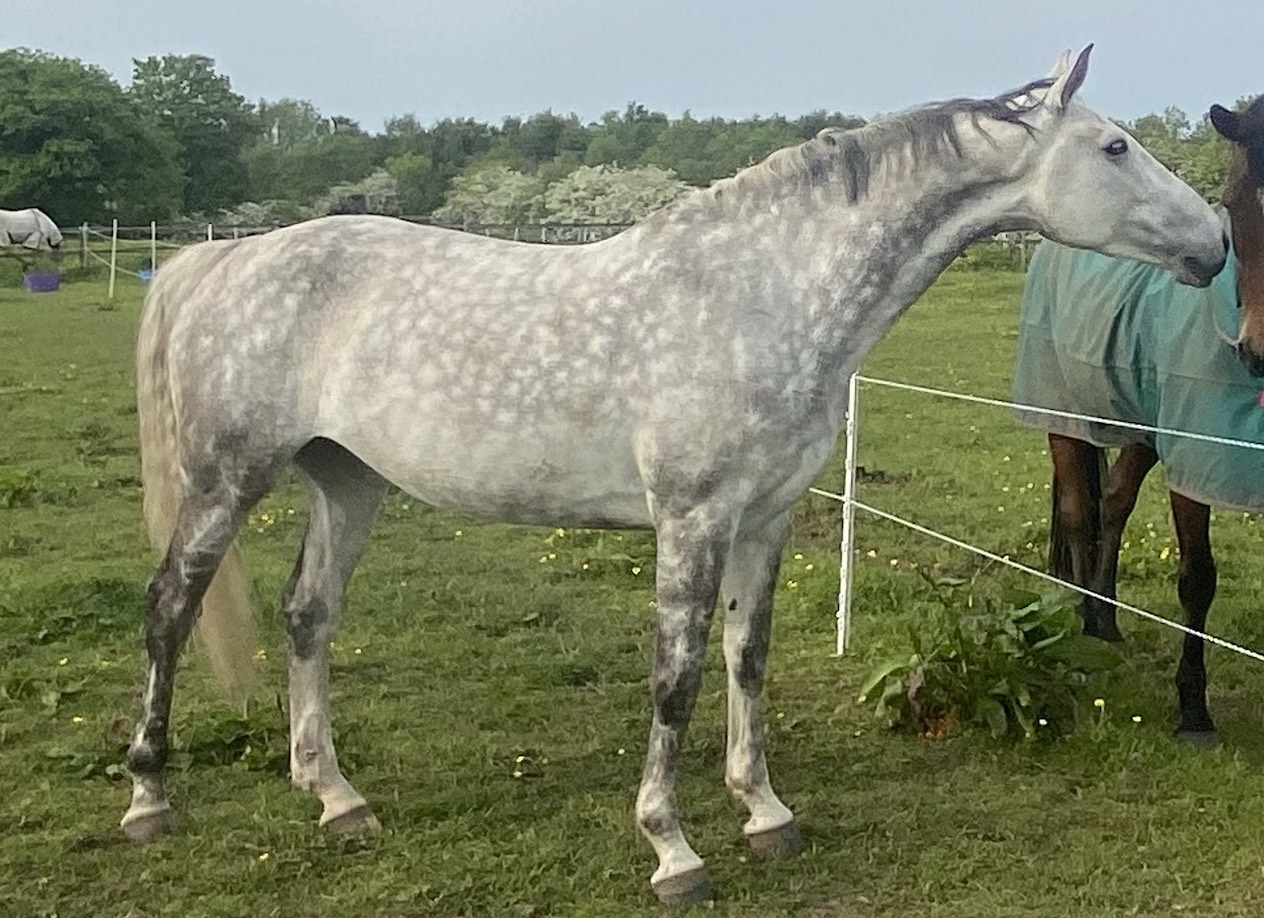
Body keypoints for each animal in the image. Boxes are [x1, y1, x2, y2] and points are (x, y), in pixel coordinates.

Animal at [122, 47, 1228, 905]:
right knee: (170, 606)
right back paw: (148, 797)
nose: (1215, 242)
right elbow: (677, 676)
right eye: (1115, 147)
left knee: (308, 616)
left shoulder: (765, 518)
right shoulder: (691, 517)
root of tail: (223, 260)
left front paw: (765, 812)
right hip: (226, 479)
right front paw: (672, 847)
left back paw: (336, 799)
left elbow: (746, 657)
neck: (760, 294)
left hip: (345, 480)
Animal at [1012, 95, 1264, 745]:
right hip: (1066, 422)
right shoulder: (1192, 462)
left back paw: (1106, 619)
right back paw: (1081, 618)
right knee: (1080, 514)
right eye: (1233, 201)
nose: (1257, 351)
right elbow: (1197, 579)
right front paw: (1193, 710)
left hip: (1141, 433)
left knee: (1115, 506)